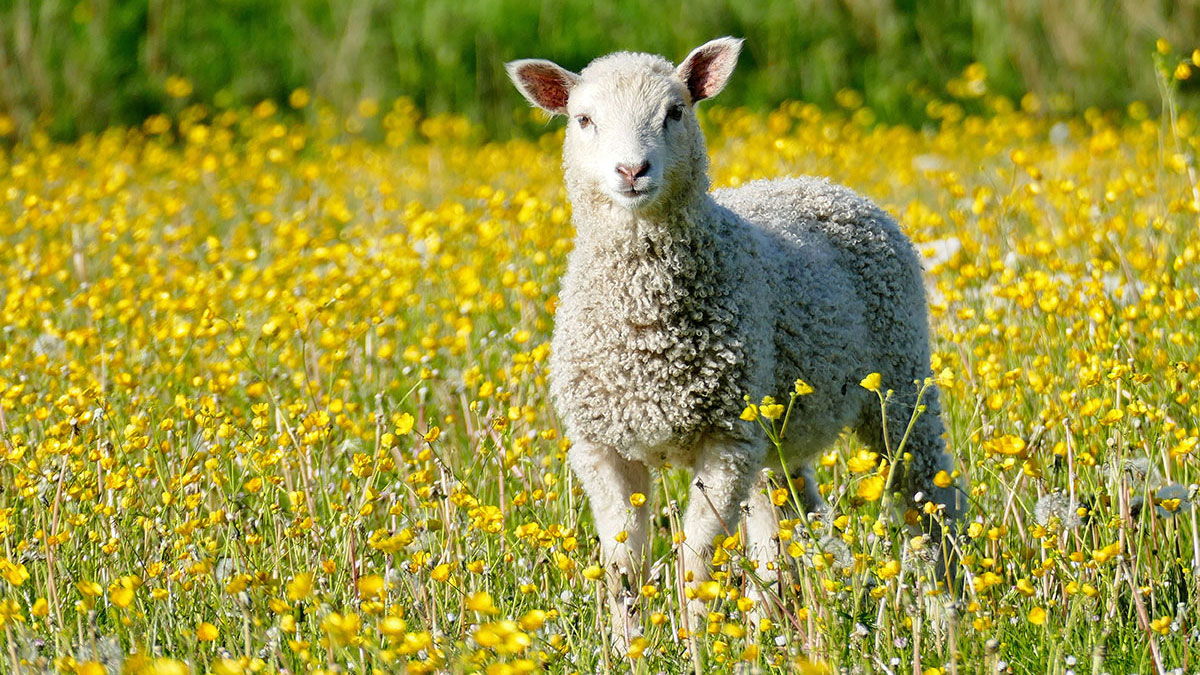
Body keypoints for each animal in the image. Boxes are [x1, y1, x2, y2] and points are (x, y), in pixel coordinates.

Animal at [504, 36, 955, 638]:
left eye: (675, 112)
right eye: (583, 119)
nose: (632, 170)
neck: (646, 335)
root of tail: (822, 184)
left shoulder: (725, 441)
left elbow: (695, 562)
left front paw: (693, 639)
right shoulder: (603, 446)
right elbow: (623, 566)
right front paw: (629, 645)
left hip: (901, 381)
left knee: (930, 499)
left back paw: (953, 613)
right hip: (779, 431)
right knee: (788, 525)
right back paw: (791, 628)